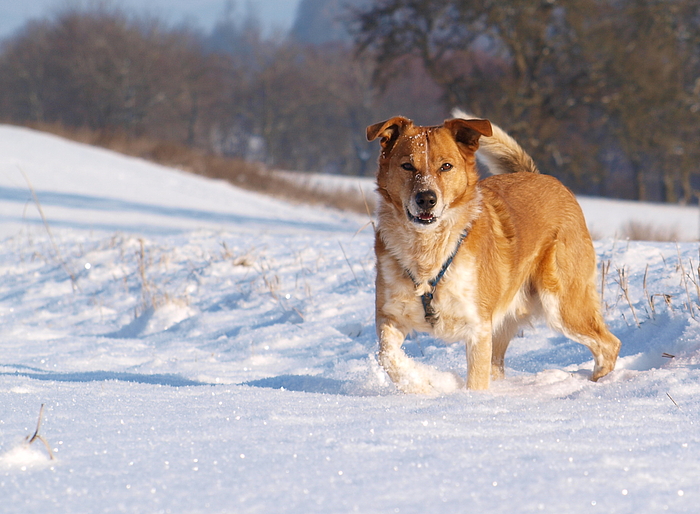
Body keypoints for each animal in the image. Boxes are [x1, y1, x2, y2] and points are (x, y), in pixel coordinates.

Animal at [366, 111, 616, 392]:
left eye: (446, 166)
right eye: (407, 166)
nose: (427, 199)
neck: (428, 251)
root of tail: (543, 177)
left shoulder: (478, 329)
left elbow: (476, 381)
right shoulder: (389, 317)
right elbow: (387, 355)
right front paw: (419, 385)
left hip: (563, 304)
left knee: (609, 344)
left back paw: (597, 383)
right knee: (497, 365)